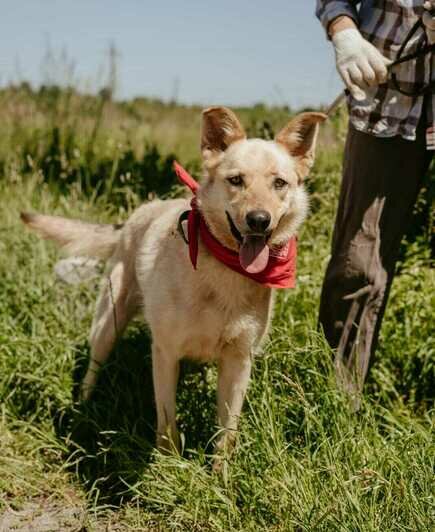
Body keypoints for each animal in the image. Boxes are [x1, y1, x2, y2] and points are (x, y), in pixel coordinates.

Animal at [21, 107, 328, 462]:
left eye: (279, 183)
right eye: (236, 180)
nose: (259, 220)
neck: (225, 270)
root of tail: (135, 216)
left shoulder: (238, 362)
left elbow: (226, 435)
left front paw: (220, 473)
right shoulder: (165, 353)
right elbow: (167, 423)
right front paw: (169, 465)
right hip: (108, 324)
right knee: (93, 368)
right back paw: (83, 407)